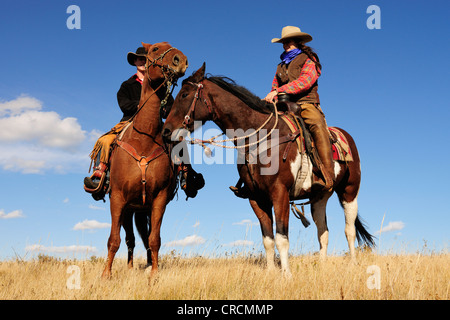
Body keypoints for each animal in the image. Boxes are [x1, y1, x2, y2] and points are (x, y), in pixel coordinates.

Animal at [101, 41, 187, 278]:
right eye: (155, 49)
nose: (181, 60)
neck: (144, 140)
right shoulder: (118, 199)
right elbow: (113, 240)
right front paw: (106, 275)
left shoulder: (159, 200)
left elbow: (154, 239)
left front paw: (154, 273)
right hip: (129, 209)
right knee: (129, 239)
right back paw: (130, 267)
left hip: (141, 208)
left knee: (144, 237)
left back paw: (147, 264)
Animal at [163, 64, 374, 276]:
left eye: (184, 94)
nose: (166, 131)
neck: (261, 139)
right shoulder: (256, 198)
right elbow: (268, 240)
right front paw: (271, 273)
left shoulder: (280, 193)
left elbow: (281, 238)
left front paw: (286, 275)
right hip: (320, 196)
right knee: (323, 231)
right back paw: (322, 266)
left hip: (349, 191)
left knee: (349, 230)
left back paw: (353, 264)